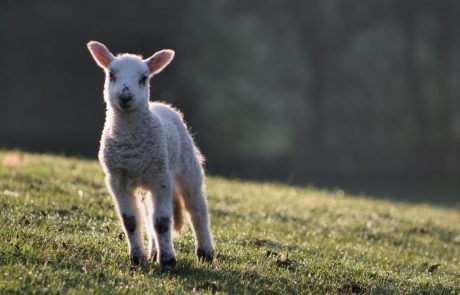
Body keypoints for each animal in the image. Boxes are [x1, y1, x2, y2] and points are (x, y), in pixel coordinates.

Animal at [86, 41, 214, 272]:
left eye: (144, 78)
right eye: (111, 74)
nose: (125, 97)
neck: (131, 148)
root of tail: (160, 104)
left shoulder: (160, 178)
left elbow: (162, 222)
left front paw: (168, 262)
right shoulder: (117, 179)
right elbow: (131, 221)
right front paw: (138, 259)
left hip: (187, 167)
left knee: (197, 209)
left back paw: (205, 253)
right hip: (147, 182)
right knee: (147, 214)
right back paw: (154, 251)